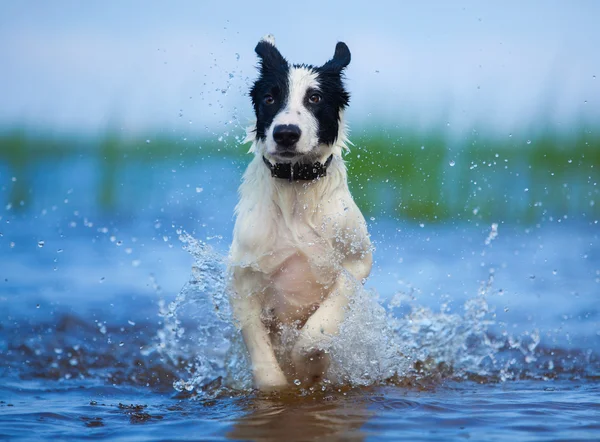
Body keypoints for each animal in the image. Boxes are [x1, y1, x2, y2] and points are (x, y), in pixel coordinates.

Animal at [229, 36, 372, 392]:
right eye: (269, 98)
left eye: (315, 97)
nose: (286, 133)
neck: (295, 187)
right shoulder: (241, 278)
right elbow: (260, 350)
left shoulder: (357, 258)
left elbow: (319, 328)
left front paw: (312, 363)